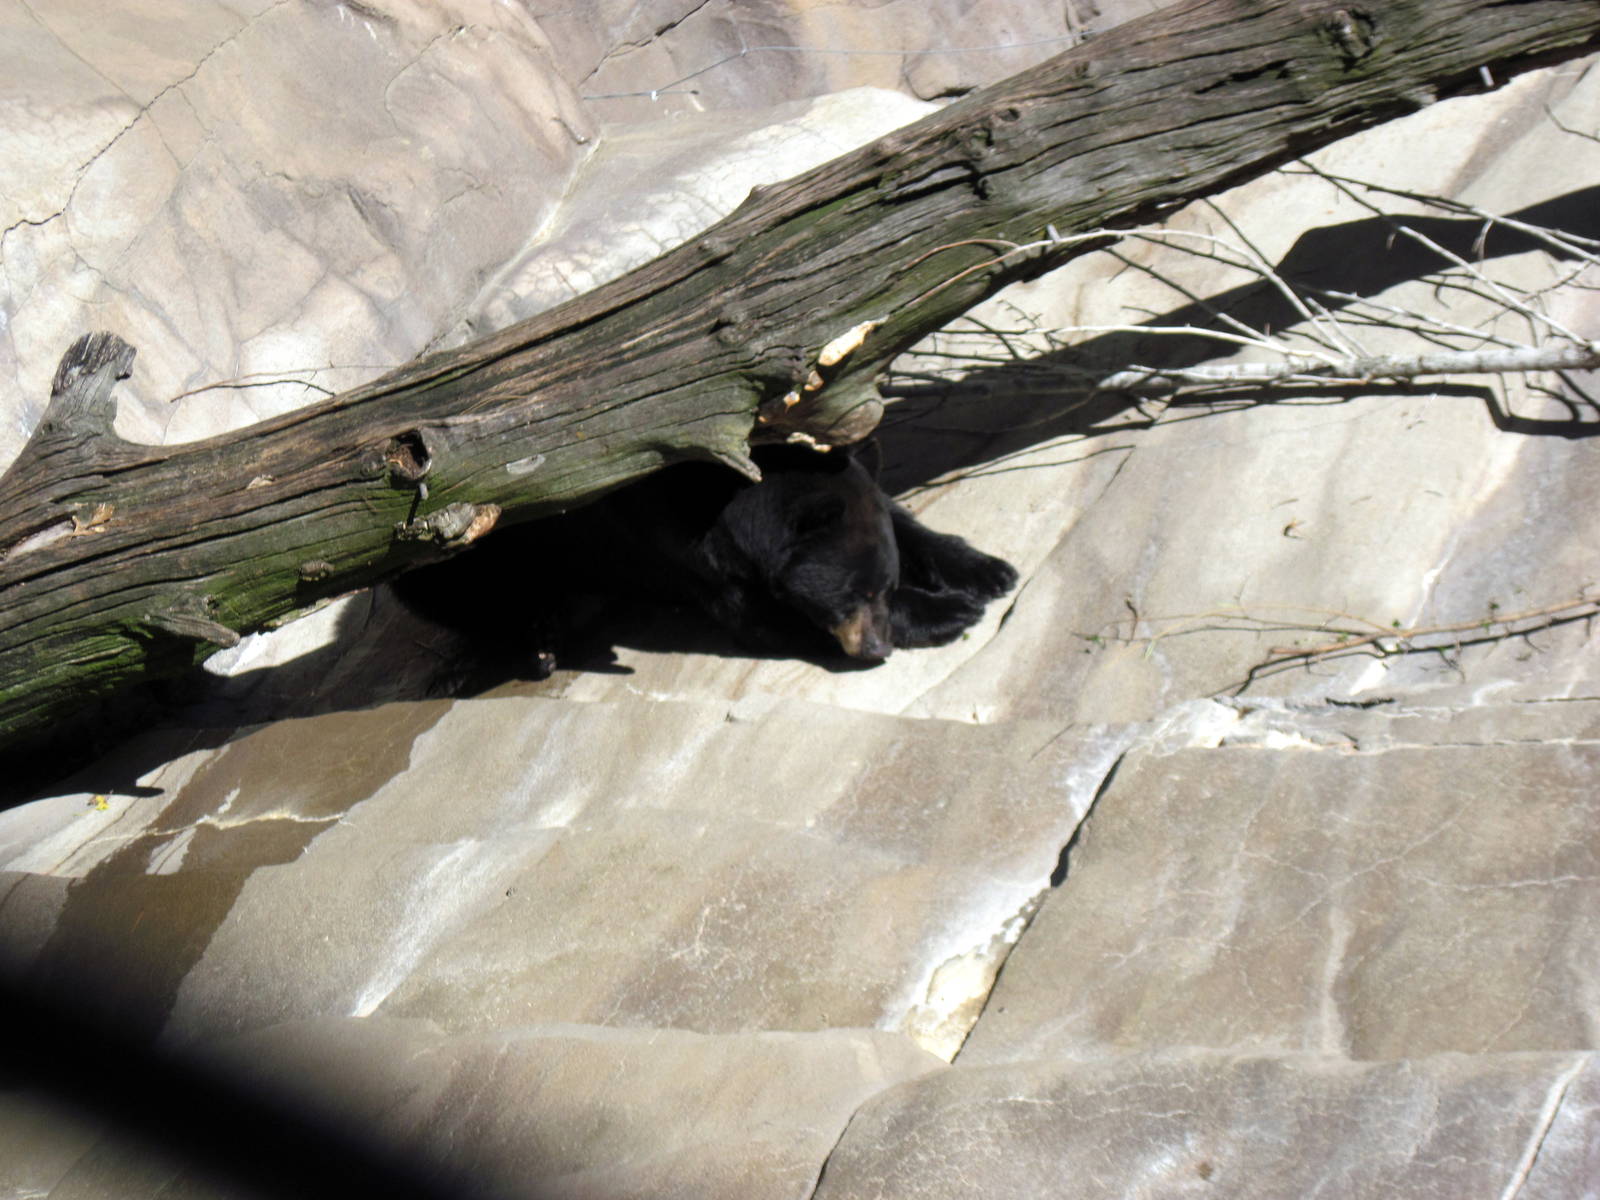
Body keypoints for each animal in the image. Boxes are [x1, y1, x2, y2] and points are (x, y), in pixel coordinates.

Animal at [390, 441, 1017, 685]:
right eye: (853, 595)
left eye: (881, 587)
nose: (875, 647)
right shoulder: (685, 544)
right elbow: (757, 615)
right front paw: (949, 613)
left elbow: (897, 515)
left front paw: (986, 571)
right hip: (445, 555)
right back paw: (534, 643)